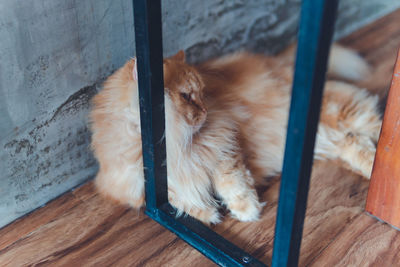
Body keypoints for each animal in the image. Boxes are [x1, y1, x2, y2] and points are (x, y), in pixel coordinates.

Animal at [90, 45, 382, 224]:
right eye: (186, 96)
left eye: (201, 93)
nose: (205, 110)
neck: (171, 146)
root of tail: (281, 61)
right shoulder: (139, 182)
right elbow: (177, 195)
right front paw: (206, 213)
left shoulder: (223, 145)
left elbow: (233, 182)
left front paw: (246, 210)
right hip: (328, 138)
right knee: (355, 143)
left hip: (340, 113)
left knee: (376, 128)